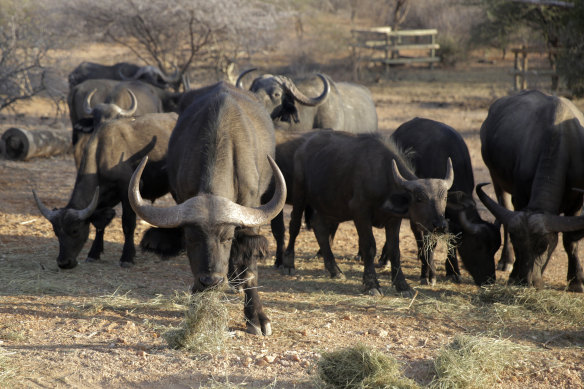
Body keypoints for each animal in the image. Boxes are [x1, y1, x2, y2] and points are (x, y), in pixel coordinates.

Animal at [32, 111, 176, 266]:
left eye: (75, 230)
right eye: (56, 232)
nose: (64, 263)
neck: (101, 155)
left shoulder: (127, 192)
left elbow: (128, 224)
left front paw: (127, 257)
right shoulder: (100, 200)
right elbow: (99, 225)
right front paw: (94, 253)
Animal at [131, 81, 290, 334]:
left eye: (227, 238)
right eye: (190, 238)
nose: (211, 281)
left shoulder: (251, 212)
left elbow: (250, 268)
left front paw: (256, 317)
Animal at [390, 116, 500, 284]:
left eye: (495, 249)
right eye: (478, 247)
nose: (489, 280)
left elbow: (451, 240)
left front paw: (453, 271)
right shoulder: (424, 217)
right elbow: (428, 242)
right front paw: (427, 274)